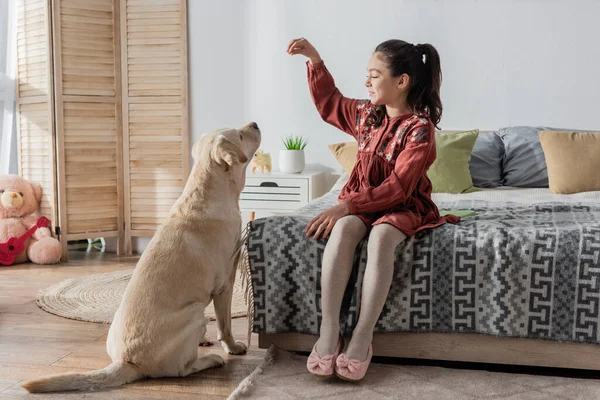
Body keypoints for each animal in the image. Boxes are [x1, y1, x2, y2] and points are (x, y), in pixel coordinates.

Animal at [22, 122, 262, 394]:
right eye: (240, 135)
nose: (255, 124)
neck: (208, 192)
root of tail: (127, 361)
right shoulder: (225, 285)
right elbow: (225, 324)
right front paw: (233, 348)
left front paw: (204, 340)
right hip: (194, 314)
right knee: (183, 369)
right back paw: (210, 360)